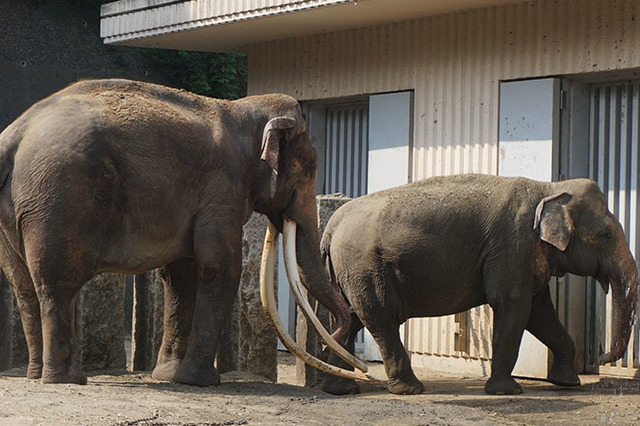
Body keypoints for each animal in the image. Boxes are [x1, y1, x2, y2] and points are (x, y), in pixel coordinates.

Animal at [0, 79, 368, 386]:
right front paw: (202, 381)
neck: (242, 110)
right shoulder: (222, 188)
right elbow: (219, 268)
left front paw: (169, 376)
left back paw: (37, 375)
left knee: (24, 286)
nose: (332, 346)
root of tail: (13, 137)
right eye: (308, 171)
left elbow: (182, 274)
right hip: (61, 196)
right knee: (58, 283)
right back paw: (67, 380)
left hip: (21, 207)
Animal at [322, 174, 636, 396]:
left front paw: (567, 383)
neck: (548, 188)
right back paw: (409, 389)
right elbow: (514, 304)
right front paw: (506, 391)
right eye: (605, 235)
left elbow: (540, 312)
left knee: (349, 320)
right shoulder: (512, 245)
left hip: (349, 274)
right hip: (365, 268)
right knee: (381, 319)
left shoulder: (526, 255)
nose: (602, 356)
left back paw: (341, 389)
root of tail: (332, 225)